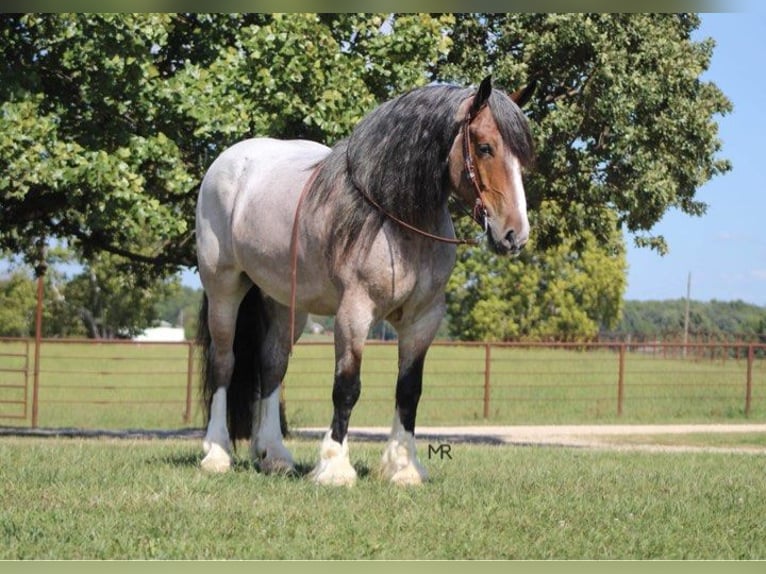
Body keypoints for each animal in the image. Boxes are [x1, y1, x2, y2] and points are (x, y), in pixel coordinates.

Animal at [195, 75, 536, 486]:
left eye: (523, 157)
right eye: (485, 147)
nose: (515, 235)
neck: (393, 218)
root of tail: (227, 162)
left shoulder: (424, 319)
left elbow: (409, 390)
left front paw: (403, 467)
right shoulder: (354, 312)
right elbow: (347, 387)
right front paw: (334, 466)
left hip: (282, 302)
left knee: (272, 365)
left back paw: (274, 455)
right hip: (224, 288)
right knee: (223, 363)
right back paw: (217, 453)